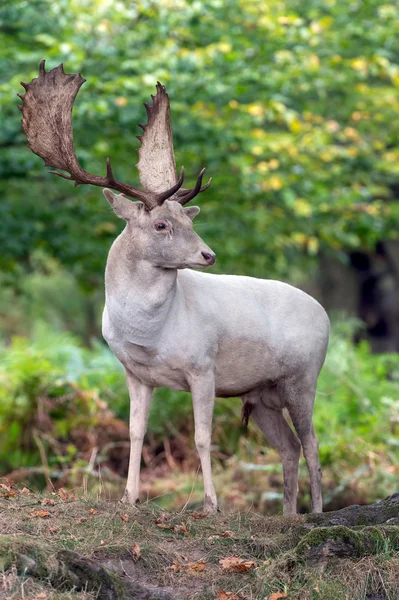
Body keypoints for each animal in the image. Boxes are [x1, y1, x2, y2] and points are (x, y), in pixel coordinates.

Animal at [20, 61, 330, 512]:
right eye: (162, 224)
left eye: (190, 219)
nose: (208, 255)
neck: (151, 336)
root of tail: (325, 313)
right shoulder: (134, 373)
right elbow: (135, 431)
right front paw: (129, 497)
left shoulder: (203, 367)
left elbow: (203, 437)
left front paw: (211, 505)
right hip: (261, 394)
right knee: (289, 447)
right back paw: (288, 515)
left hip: (303, 377)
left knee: (313, 443)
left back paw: (317, 512)